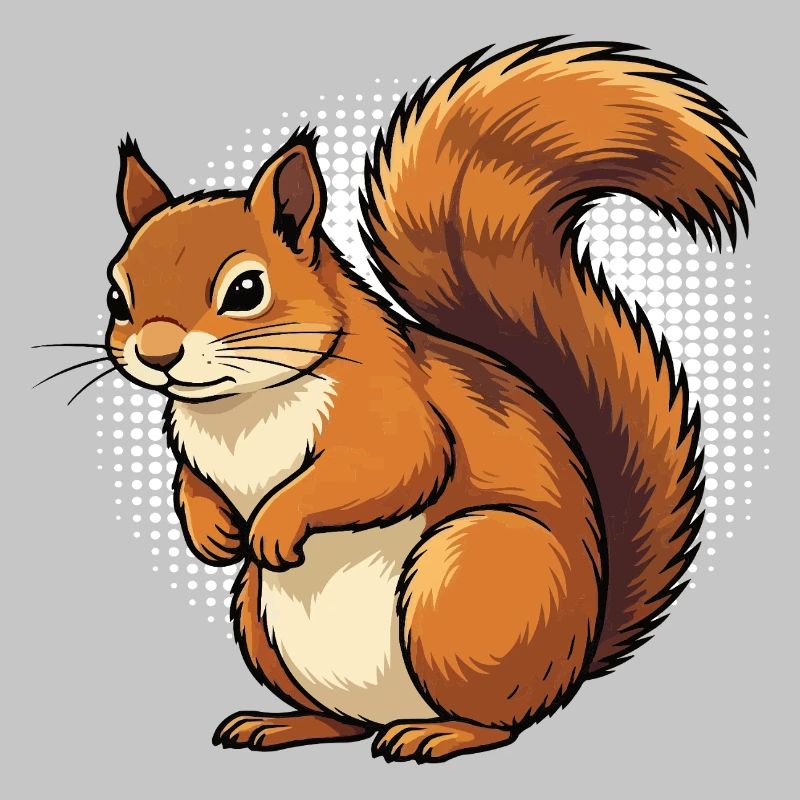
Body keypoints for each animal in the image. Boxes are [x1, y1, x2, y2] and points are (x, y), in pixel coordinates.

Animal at [105, 38, 752, 762]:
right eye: (116, 295)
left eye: (246, 290)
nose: (157, 355)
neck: (239, 406)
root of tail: (573, 664)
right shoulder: (192, 447)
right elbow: (190, 482)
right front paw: (212, 532)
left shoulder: (392, 407)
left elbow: (394, 466)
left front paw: (274, 521)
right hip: (257, 616)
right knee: (342, 721)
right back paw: (282, 724)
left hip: (466, 578)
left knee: (501, 723)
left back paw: (437, 734)